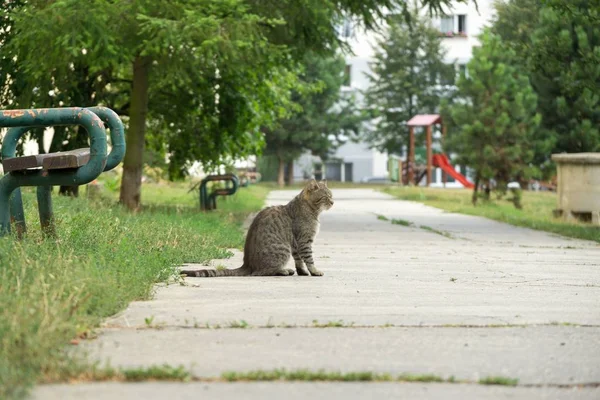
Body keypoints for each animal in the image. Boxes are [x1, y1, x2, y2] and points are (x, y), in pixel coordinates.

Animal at [180, 180, 336, 276]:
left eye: (332, 196)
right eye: (326, 196)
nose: (333, 202)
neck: (311, 210)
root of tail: (247, 264)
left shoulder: (296, 244)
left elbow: (299, 261)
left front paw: (302, 272)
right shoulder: (304, 241)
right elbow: (309, 259)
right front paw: (314, 271)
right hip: (283, 249)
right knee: (263, 271)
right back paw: (283, 270)